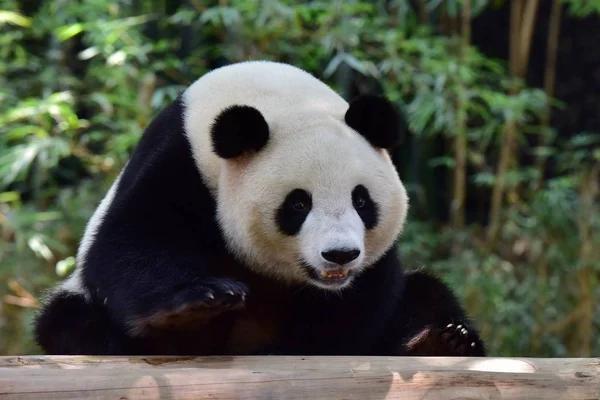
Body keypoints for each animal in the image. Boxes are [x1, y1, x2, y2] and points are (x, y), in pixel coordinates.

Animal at [30, 60, 486, 356]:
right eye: (298, 203)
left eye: (361, 199)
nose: (339, 255)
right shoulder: (180, 160)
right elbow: (130, 243)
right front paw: (198, 302)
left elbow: (361, 306)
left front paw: (297, 346)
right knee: (67, 320)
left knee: (427, 291)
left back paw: (439, 340)